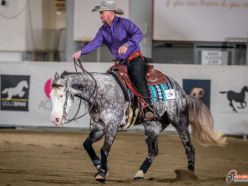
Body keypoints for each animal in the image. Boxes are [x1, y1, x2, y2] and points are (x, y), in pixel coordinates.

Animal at [49, 70, 226, 182]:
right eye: (50, 96)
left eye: (61, 95)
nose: (56, 119)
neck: (102, 92)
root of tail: (183, 93)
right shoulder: (99, 127)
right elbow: (86, 144)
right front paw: (100, 166)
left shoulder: (112, 126)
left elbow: (105, 149)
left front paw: (102, 173)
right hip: (152, 127)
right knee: (153, 151)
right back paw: (140, 173)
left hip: (179, 121)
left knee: (189, 148)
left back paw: (189, 176)